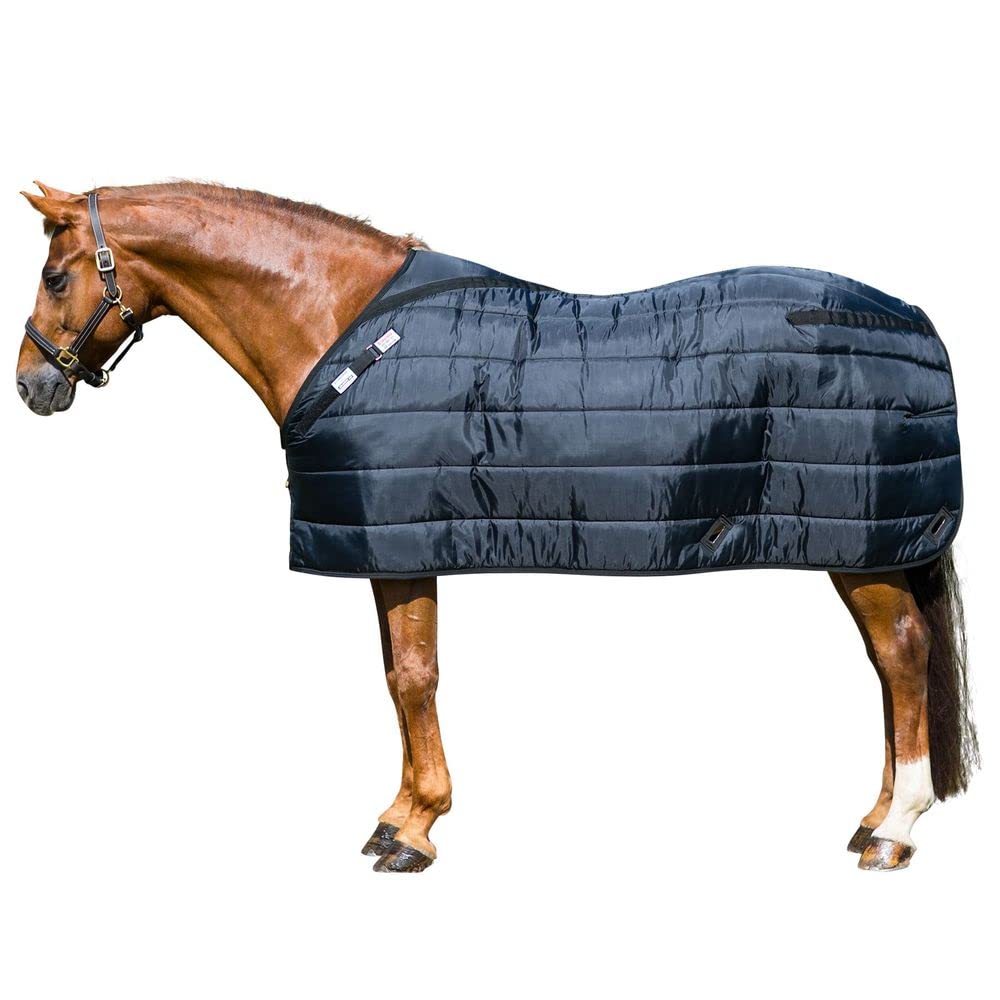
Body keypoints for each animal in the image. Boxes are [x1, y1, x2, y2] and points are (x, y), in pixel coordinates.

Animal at [15, 181, 978, 873]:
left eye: (56, 276)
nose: (33, 384)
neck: (349, 332)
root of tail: (912, 317)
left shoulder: (400, 542)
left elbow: (413, 678)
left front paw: (412, 831)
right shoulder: (388, 541)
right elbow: (399, 676)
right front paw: (401, 816)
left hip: (860, 545)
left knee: (900, 655)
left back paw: (895, 829)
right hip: (860, 543)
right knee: (888, 666)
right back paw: (873, 819)